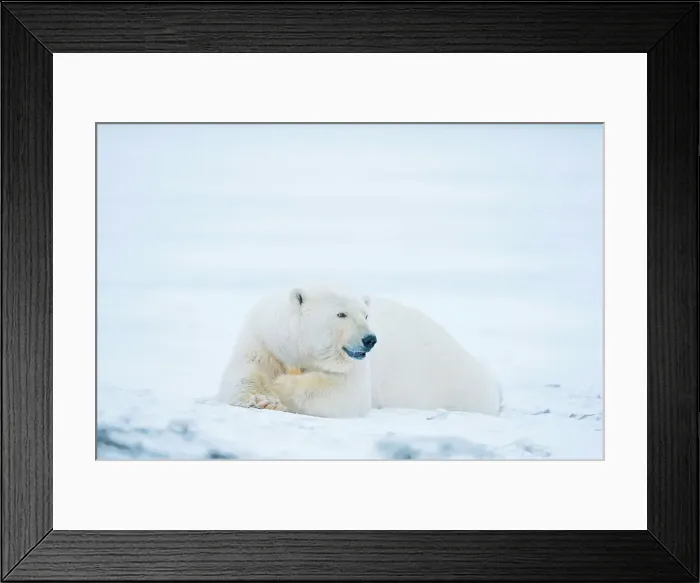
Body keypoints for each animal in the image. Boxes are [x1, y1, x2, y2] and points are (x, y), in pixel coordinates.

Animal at [215, 286, 502, 418]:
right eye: (341, 314)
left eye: (365, 315)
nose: (369, 339)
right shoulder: (263, 339)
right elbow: (244, 374)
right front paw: (264, 399)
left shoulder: (357, 367)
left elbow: (343, 395)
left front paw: (282, 386)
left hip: (453, 380)